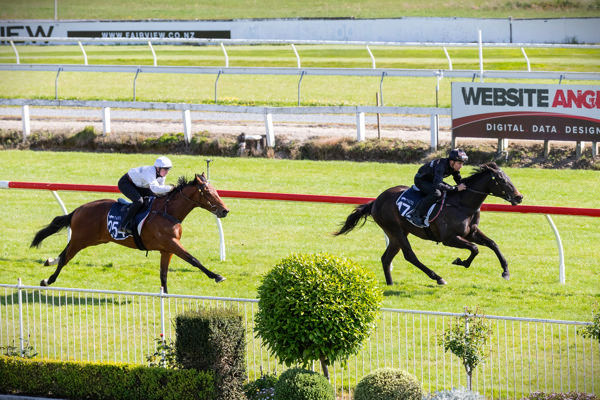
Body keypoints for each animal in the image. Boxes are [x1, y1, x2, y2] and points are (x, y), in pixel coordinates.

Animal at [29, 173, 230, 294]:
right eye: (207, 192)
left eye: (216, 191)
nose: (225, 211)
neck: (168, 212)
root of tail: (79, 209)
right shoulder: (171, 243)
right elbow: (193, 259)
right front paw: (217, 276)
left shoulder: (167, 249)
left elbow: (163, 274)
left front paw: (165, 295)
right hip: (82, 239)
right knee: (65, 257)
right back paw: (48, 280)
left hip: (89, 239)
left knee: (64, 253)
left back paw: (49, 262)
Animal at [336, 161, 524, 286]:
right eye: (500, 179)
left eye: (508, 177)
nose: (519, 197)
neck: (463, 204)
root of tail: (375, 201)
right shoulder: (449, 238)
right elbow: (474, 248)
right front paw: (461, 262)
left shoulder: (471, 232)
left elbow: (492, 244)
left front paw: (505, 272)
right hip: (395, 230)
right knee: (410, 256)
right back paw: (438, 278)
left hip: (397, 234)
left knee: (386, 258)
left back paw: (390, 284)